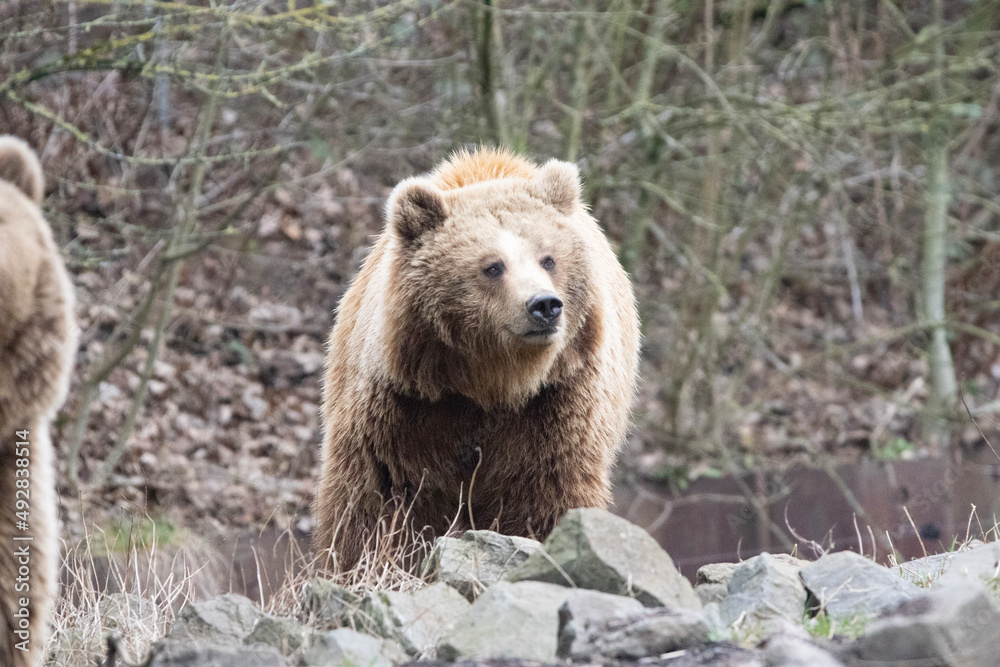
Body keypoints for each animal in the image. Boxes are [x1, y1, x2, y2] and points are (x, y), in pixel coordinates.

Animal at [313, 147, 640, 571]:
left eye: (548, 259)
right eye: (492, 266)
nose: (544, 305)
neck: (489, 382)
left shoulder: (555, 404)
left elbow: (546, 492)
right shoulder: (405, 405)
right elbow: (376, 494)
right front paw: (362, 562)